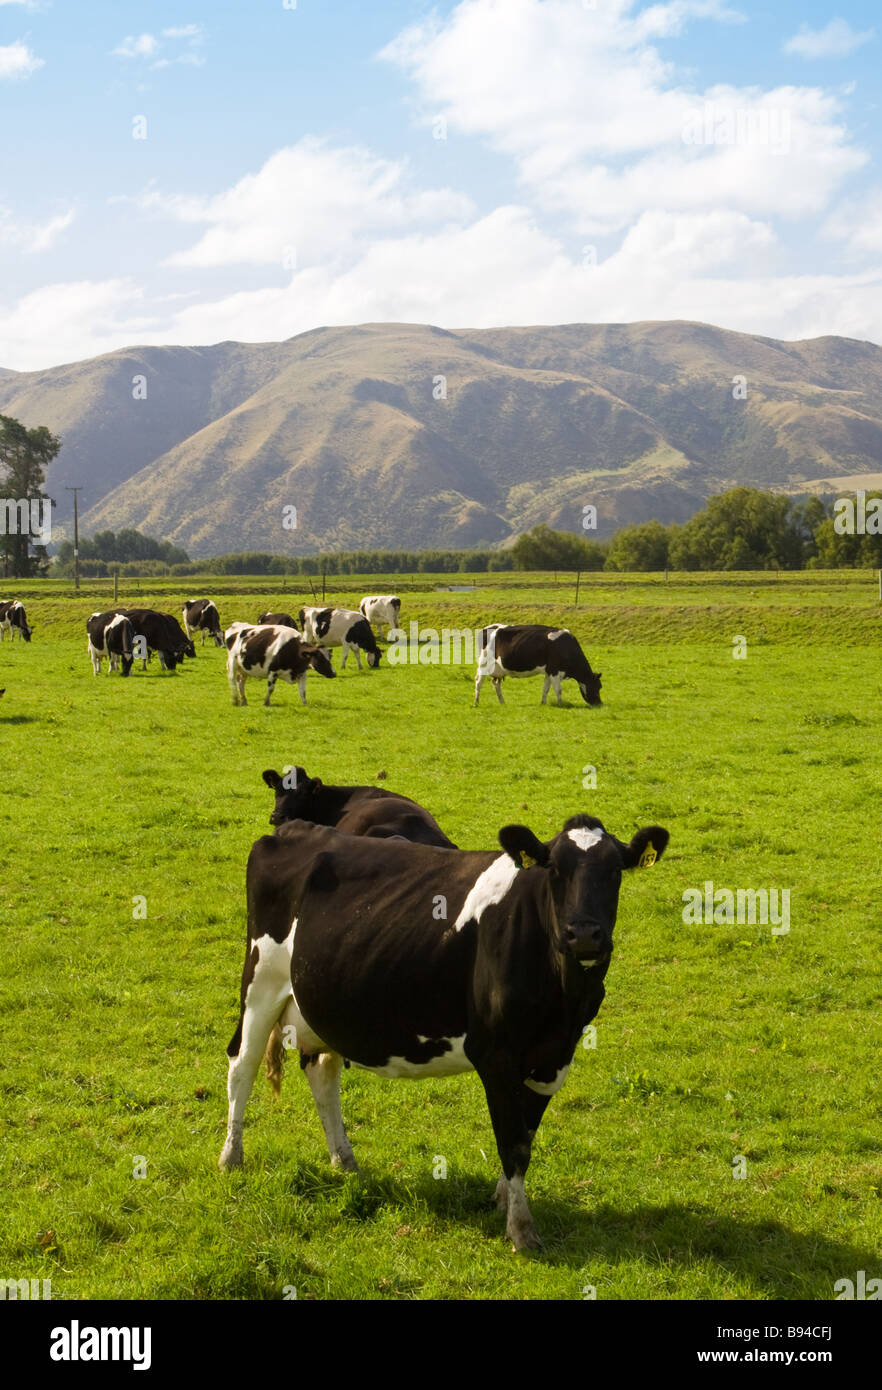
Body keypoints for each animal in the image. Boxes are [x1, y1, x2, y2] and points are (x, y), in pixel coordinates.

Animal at [219, 812, 669, 1250]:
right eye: (555, 869)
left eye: (615, 870)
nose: (585, 934)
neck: (564, 994)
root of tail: (294, 828)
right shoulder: (496, 1056)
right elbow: (512, 1142)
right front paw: (521, 1229)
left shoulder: (554, 1058)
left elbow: (526, 1136)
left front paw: (503, 1199)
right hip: (260, 982)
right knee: (242, 1066)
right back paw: (231, 1157)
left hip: (321, 1002)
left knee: (322, 1075)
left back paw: (345, 1163)